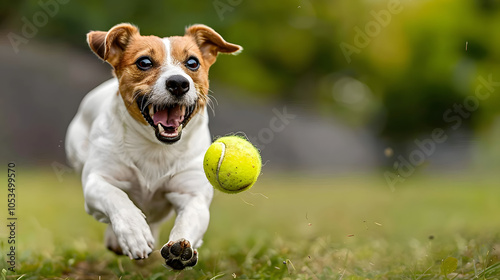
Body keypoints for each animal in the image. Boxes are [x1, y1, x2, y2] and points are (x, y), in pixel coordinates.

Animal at [66, 23, 242, 270]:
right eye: (144, 62)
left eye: (193, 63)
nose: (178, 83)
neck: (156, 148)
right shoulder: (97, 181)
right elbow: (116, 197)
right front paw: (134, 233)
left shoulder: (192, 194)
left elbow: (189, 219)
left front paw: (181, 247)